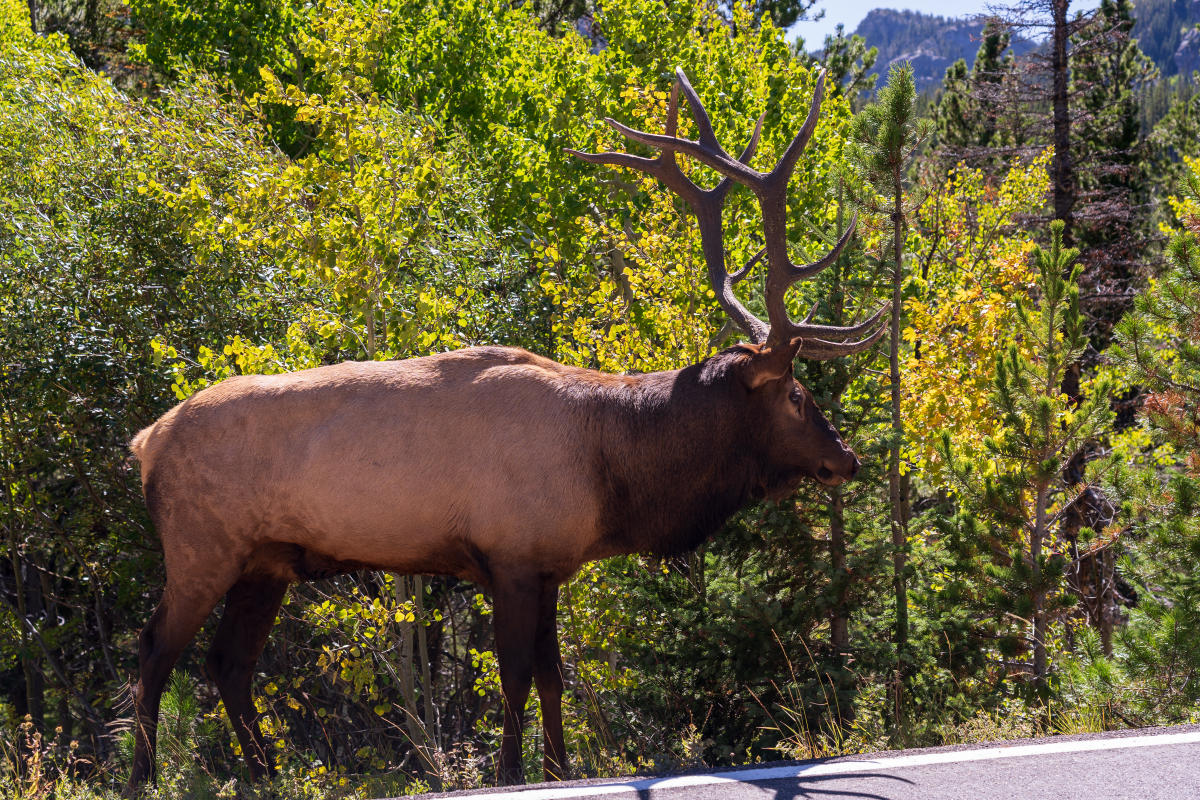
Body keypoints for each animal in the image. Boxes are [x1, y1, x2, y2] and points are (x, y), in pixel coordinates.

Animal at [123, 67, 886, 795]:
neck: (615, 468)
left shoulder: (548, 565)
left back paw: (266, 773)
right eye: (796, 396)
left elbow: (552, 676)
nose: (845, 459)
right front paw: (513, 772)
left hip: (266, 561)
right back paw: (143, 776)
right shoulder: (510, 555)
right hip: (200, 546)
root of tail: (144, 442)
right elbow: (514, 676)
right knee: (156, 647)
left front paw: (559, 768)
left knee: (228, 664)